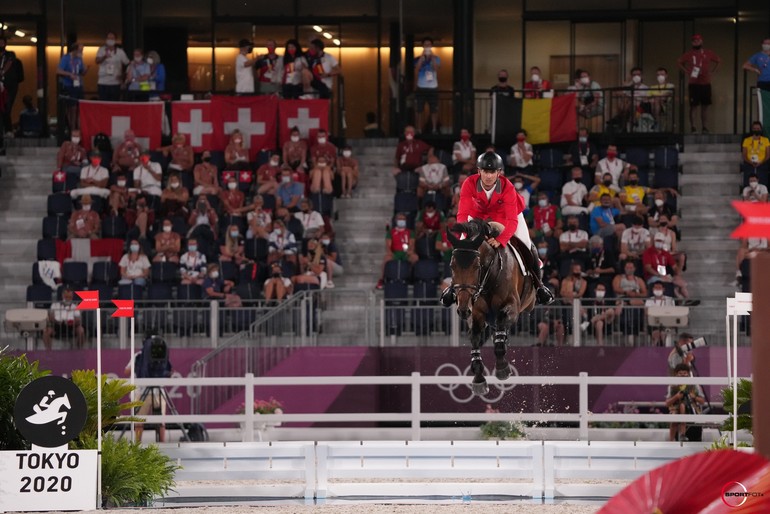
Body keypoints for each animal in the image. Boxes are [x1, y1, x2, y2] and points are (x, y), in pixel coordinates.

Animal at [444, 218, 536, 394]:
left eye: (476, 266)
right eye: (452, 266)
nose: (463, 309)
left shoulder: (512, 308)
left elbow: (500, 325)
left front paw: (502, 368)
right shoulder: (476, 314)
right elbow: (474, 338)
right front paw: (479, 379)